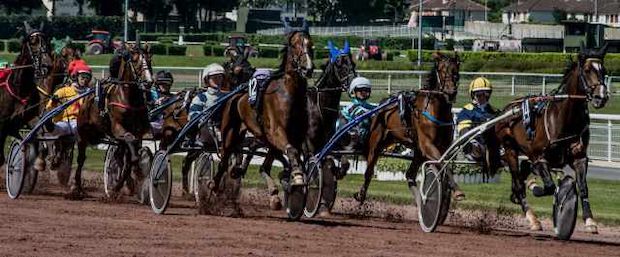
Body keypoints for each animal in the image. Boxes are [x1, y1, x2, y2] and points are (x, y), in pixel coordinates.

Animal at [0, 27, 52, 166]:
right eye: (33, 41)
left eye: (46, 40)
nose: (47, 66)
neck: (19, 89)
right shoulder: (3, 125)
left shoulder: (27, 119)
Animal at [68, 47, 153, 198]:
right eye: (135, 60)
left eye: (149, 59)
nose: (148, 81)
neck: (129, 98)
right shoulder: (118, 127)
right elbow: (129, 142)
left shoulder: (138, 133)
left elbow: (129, 158)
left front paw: (121, 186)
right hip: (83, 133)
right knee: (81, 158)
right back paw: (77, 187)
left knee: (121, 155)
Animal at [218, 23, 314, 204]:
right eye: (295, 45)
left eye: (310, 45)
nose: (308, 68)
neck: (289, 93)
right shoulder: (276, 132)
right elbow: (291, 151)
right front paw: (297, 177)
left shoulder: (295, 137)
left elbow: (294, 155)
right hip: (231, 135)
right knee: (225, 160)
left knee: (263, 165)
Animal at [354, 52, 460, 204]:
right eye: (441, 70)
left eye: (456, 70)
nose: (451, 92)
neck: (436, 110)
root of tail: (382, 105)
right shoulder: (427, 145)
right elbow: (442, 163)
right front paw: (457, 190)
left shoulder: (441, 146)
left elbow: (443, 164)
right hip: (376, 143)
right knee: (369, 171)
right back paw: (361, 194)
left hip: (415, 150)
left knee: (410, 174)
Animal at [494, 43, 612, 231]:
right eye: (587, 70)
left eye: (604, 70)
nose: (601, 96)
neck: (565, 119)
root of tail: (507, 109)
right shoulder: (540, 157)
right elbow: (549, 187)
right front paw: (534, 186)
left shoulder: (579, 157)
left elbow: (583, 187)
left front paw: (590, 220)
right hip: (510, 148)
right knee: (519, 184)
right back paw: (532, 217)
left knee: (524, 170)